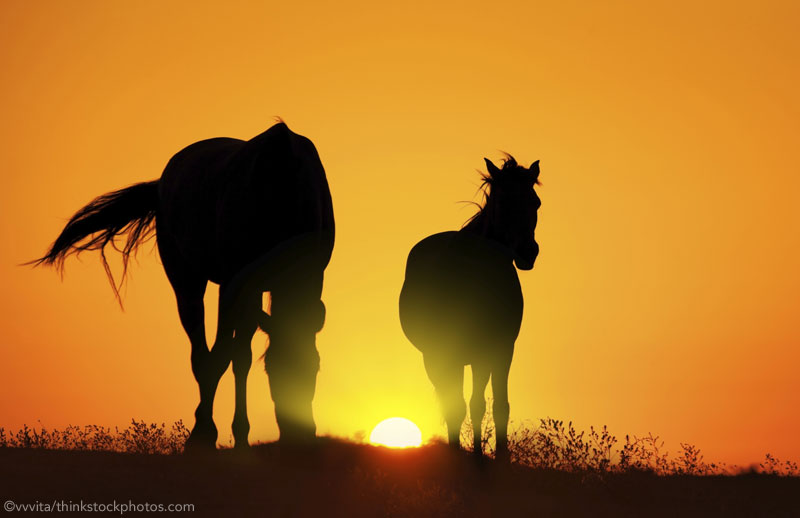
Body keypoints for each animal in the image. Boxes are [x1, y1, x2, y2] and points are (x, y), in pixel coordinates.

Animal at [32, 122, 334, 450]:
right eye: (273, 371)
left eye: (316, 366)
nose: (300, 436)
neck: (283, 190)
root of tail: (162, 182)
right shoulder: (235, 285)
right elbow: (226, 356)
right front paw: (208, 435)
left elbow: (240, 356)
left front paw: (240, 436)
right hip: (187, 281)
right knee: (201, 353)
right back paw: (202, 432)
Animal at [398, 156, 540, 462]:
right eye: (502, 200)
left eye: (535, 201)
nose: (528, 252)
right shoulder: (460, 354)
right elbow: (466, 406)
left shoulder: (500, 349)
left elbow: (497, 405)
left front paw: (499, 458)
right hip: (438, 357)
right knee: (453, 403)